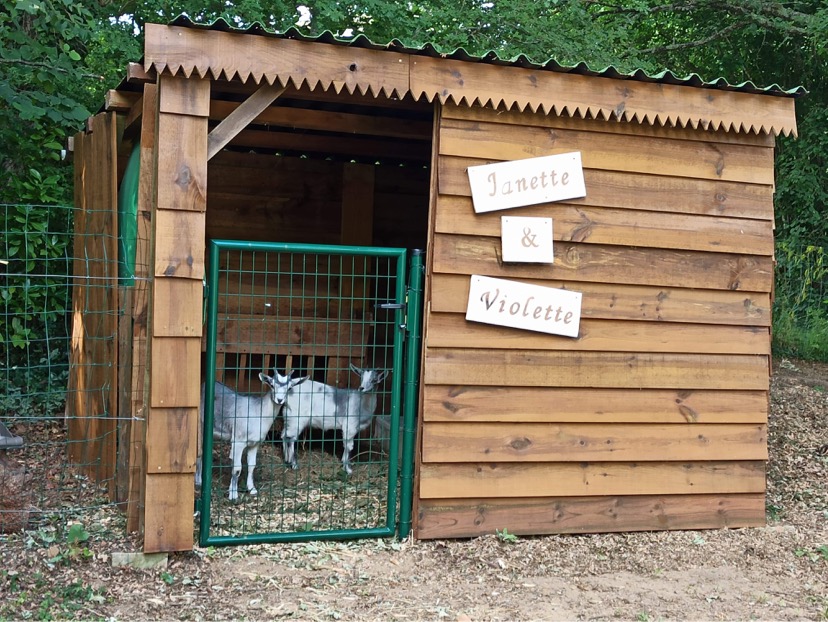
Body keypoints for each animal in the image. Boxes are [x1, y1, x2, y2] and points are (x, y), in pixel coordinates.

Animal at [196, 370, 308, 502]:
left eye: (289, 387)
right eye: (271, 385)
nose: (279, 400)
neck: (257, 414)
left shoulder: (255, 443)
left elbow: (251, 465)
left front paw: (252, 489)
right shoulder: (238, 441)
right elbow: (237, 468)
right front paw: (233, 495)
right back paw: (198, 481)